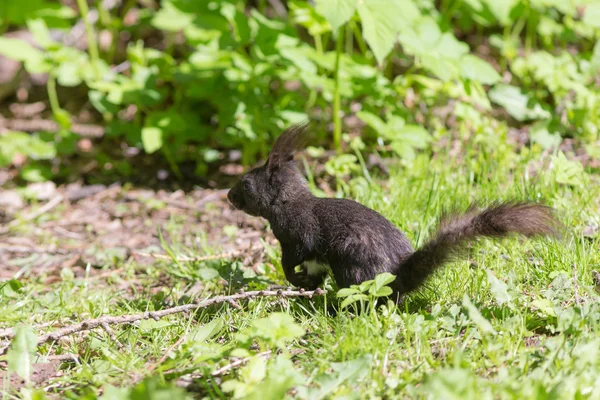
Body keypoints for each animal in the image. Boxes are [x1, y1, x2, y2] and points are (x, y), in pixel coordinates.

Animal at [227, 123, 560, 302]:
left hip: (351, 262)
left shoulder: (297, 236)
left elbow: (291, 260)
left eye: (246, 184)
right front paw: (307, 287)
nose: (229, 197)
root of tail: (397, 276)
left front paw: (294, 280)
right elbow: (312, 271)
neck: (289, 203)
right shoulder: (312, 258)